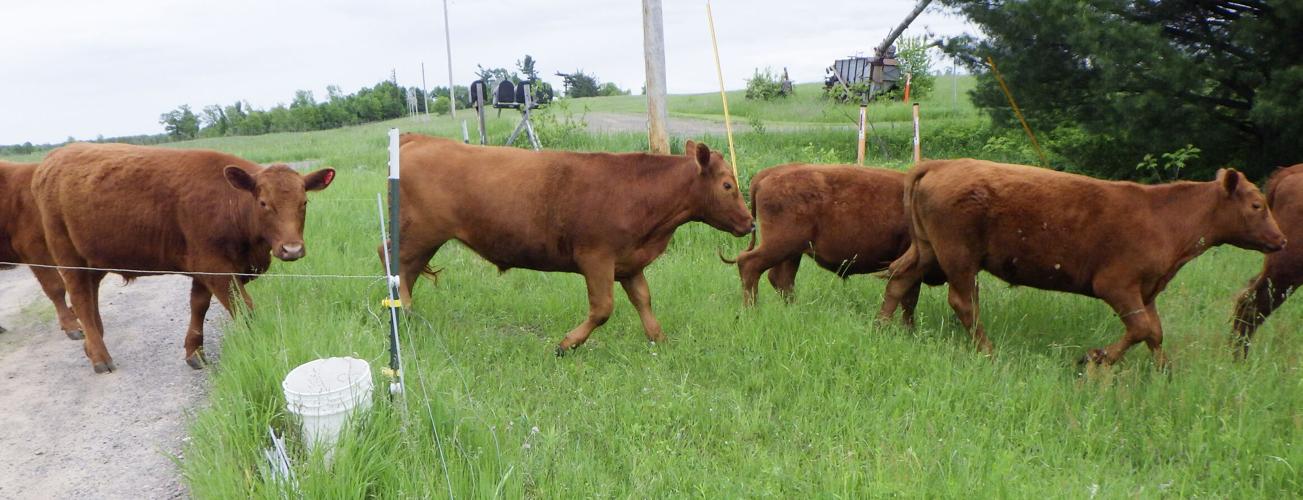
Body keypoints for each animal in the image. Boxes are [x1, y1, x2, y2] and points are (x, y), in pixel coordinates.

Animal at [32, 143, 335, 373]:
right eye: (263, 203)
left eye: (304, 202)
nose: (292, 249)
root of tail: (52, 159)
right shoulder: (216, 267)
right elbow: (244, 309)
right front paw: (257, 347)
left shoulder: (205, 268)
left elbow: (198, 305)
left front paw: (194, 351)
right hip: (67, 256)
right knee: (81, 300)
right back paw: (100, 356)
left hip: (93, 259)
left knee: (90, 296)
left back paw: (92, 344)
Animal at [395, 134, 753, 355]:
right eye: (727, 185)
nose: (750, 222)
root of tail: (419, 139)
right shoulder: (596, 258)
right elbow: (603, 308)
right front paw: (567, 344)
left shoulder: (629, 264)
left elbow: (644, 301)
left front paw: (660, 340)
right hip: (419, 234)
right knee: (396, 262)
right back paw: (403, 311)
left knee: (407, 270)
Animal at [719, 163, 942, 317]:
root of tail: (767, 175)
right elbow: (909, 299)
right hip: (780, 245)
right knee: (750, 264)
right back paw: (752, 311)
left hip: (792, 252)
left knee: (781, 279)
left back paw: (795, 311)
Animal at [878, 159, 1286, 368]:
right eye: (1257, 205)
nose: (1281, 241)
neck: (1165, 216)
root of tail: (939, 164)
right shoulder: (1117, 285)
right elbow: (1142, 330)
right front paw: (1097, 359)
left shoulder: (1147, 291)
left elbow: (1154, 333)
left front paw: (1164, 372)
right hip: (959, 255)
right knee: (964, 303)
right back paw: (988, 351)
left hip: (927, 249)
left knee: (899, 279)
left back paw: (880, 326)